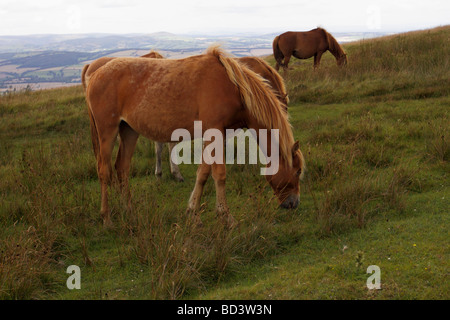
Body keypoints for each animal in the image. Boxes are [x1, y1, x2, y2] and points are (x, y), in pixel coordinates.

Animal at [85, 46, 306, 229]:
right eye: (297, 171)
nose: (293, 203)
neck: (233, 87)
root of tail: (95, 73)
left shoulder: (215, 135)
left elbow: (203, 173)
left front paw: (193, 213)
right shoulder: (215, 131)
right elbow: (219, 175)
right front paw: (226, 217)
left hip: (129, 131)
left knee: (122, 168)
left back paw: (129, 211)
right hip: (107, 131)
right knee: (104, 171)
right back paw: (107, 218)